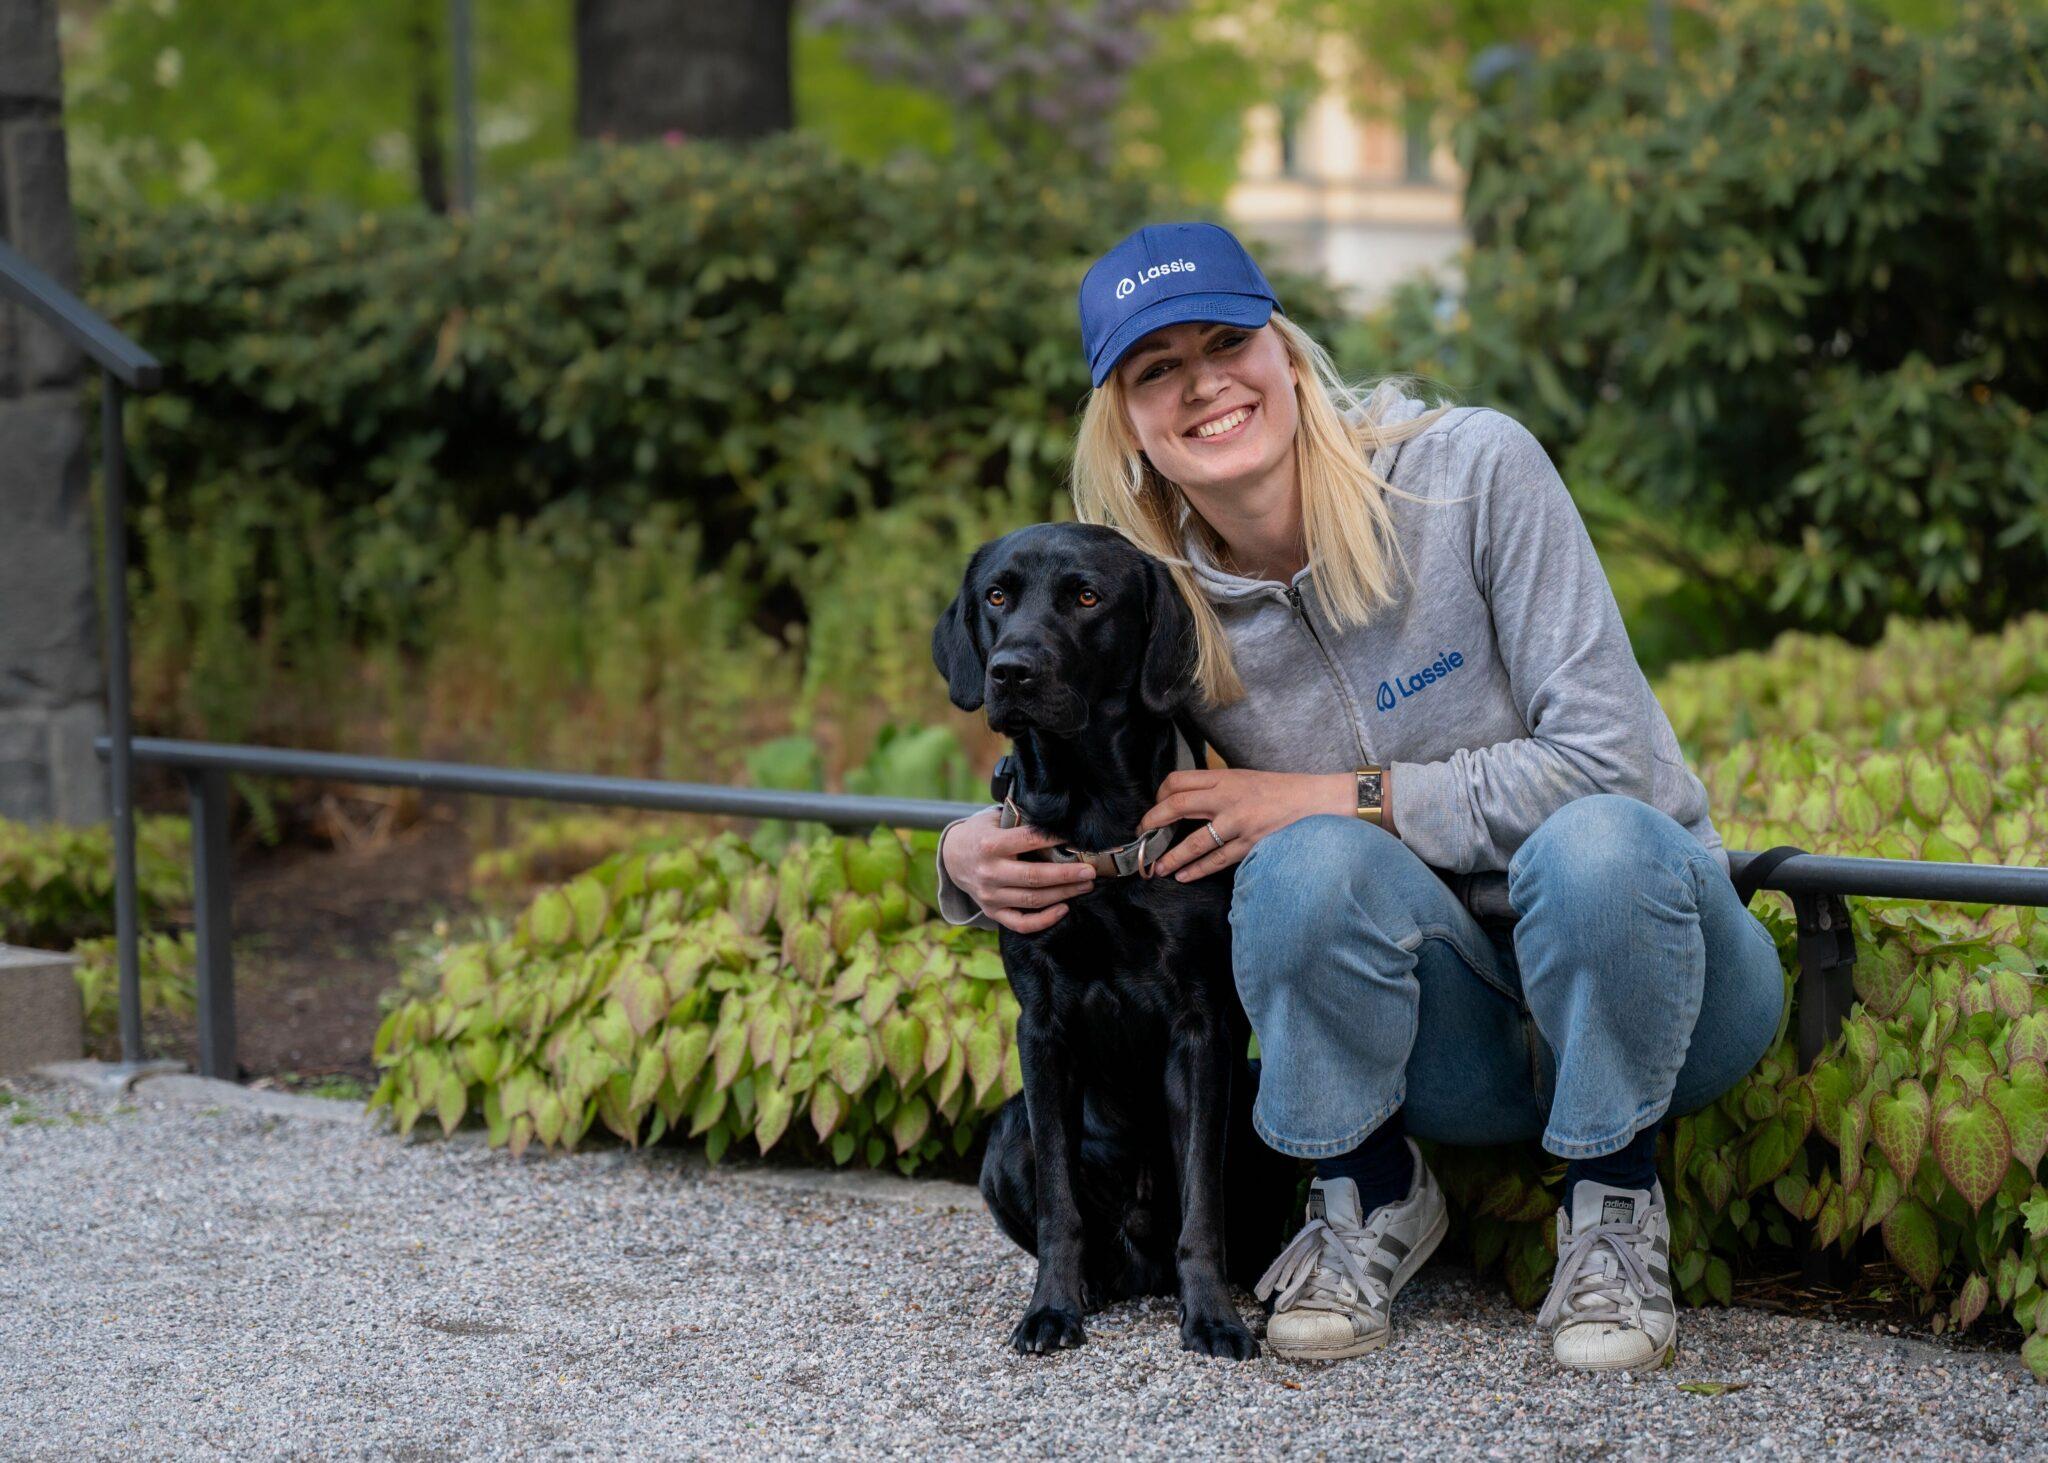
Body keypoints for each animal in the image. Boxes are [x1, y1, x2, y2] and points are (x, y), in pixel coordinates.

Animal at [933, 518, 1294, 1352]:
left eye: (1087, 597)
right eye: (997, 595)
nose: (1009, 672)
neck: (1093, 815)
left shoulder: (1201, 1025)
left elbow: (1201, 1201)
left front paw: (1213, 1317)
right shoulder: (1041, 1028)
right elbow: (1060, 1203)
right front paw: (1051, 1307)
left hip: (1259, 1114)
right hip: (1004, 1133)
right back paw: (1093, 1285)